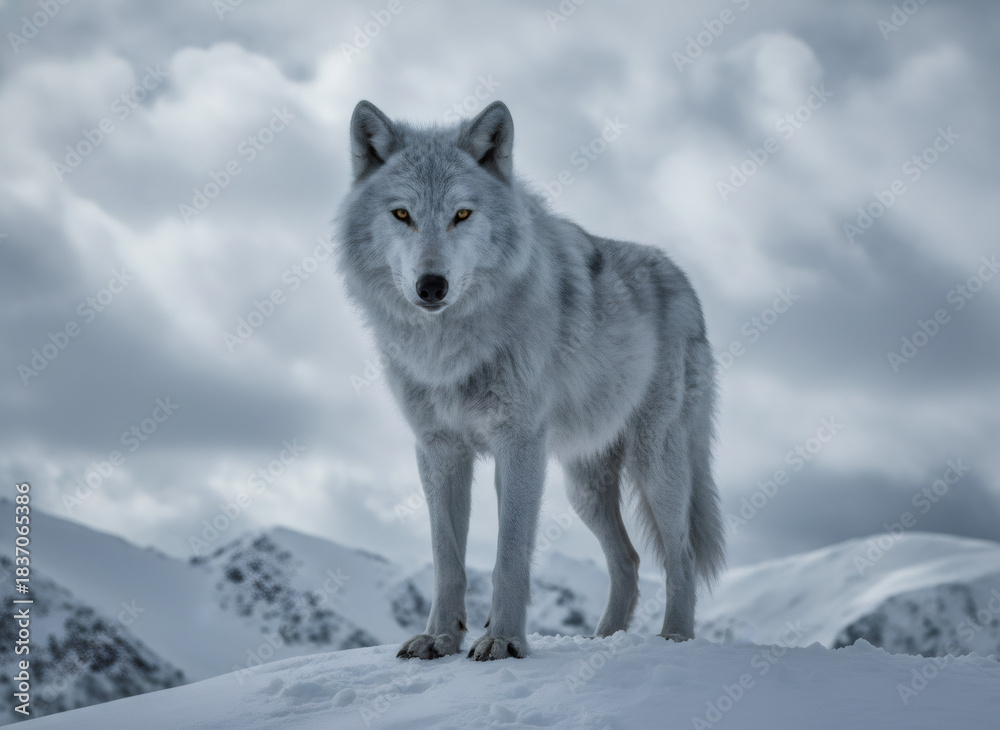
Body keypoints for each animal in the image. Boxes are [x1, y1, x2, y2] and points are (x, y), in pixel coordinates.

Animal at [336, 100, 724, 661]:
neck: (451, 350)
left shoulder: (518, 443)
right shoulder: (438, 449)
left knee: (682, 553)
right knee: (627, 560)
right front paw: (439, 638)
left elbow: (510, 554)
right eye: (402, 214)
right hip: (583, 486)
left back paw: (675, 636)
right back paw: (603, 639)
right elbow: (446, 556)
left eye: (462, 214)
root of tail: (681, 278)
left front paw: (502, 640)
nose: (432, 286)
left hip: (657, 465)